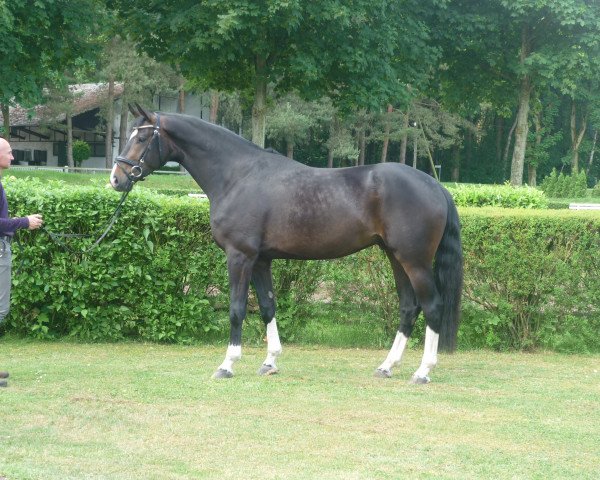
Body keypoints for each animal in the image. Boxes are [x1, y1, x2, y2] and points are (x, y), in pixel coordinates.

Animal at [110, 104, 462, 382]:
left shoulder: (239, 256)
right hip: (395, 256)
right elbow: (267, 306)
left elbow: (237, 308)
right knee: (409, 307)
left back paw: (423, 371)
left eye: (141, 138)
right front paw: (270, 363)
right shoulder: (261, 260)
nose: (116, 178)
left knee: (432, 306)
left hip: (414, 260)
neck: (238, 176)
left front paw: (227, 364)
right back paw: (387, 366)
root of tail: (435, 185)